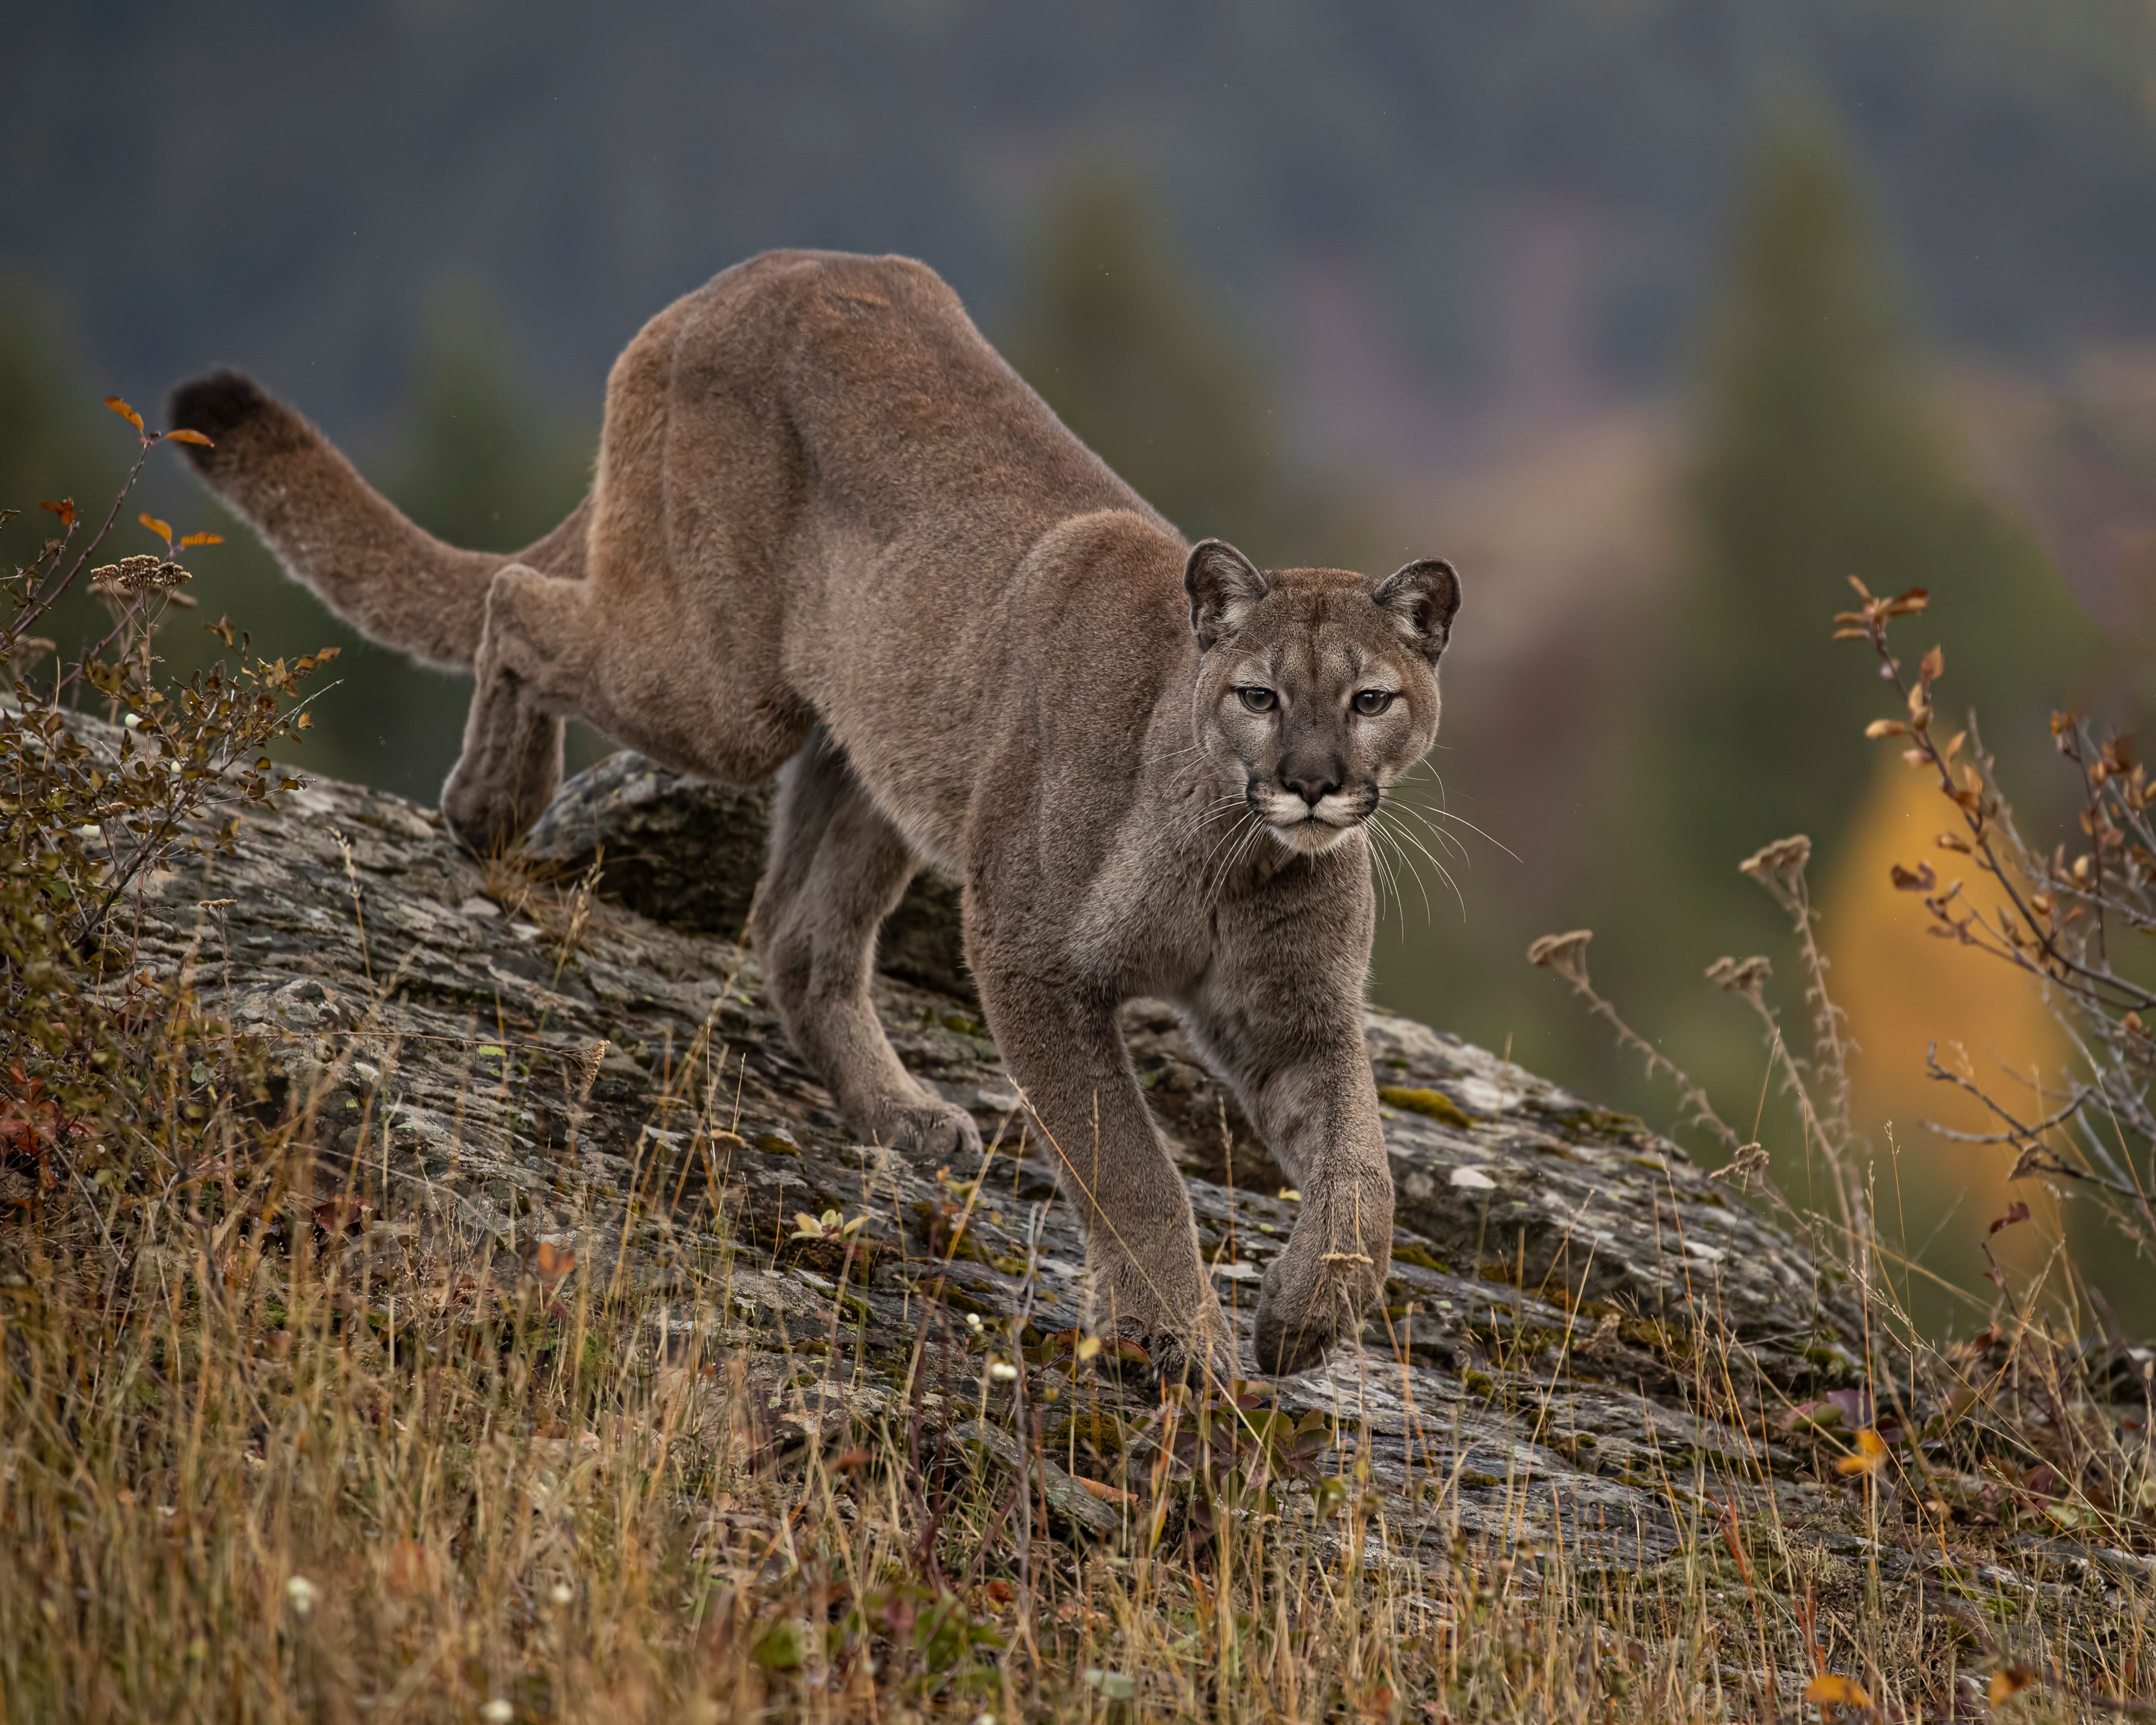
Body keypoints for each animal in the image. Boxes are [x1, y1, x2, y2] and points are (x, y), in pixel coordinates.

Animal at [160, 249, 1457, 1371]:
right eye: (1258, 696)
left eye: (1369, 700)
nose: (1310, 780)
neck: (1230, 853)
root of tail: (740, 277)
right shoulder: (1034, 960)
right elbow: (1126, 1160)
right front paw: (1179, 1341)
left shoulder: (1291, 1015)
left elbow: (1363, 1169)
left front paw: (1307, 1315)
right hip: (723, 693)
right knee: (519, 602)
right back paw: (490, 805)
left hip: (872, 749)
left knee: (797, 932)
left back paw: (899, 1112)